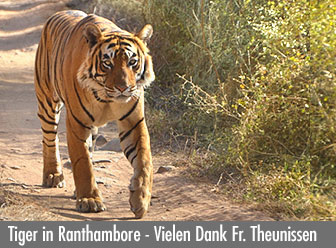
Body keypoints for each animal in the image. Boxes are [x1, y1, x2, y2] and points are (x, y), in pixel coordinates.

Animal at [34, 10, 155, 219]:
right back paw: (52, 175)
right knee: (49, 139)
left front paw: (140, 200)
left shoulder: (133, 122)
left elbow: (144, 161)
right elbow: (82, 163)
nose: (123, 88)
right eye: (108, 63)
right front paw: (90, 200)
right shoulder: (77, 123)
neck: (107, 98)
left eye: (132, 62)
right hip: (47, 101)